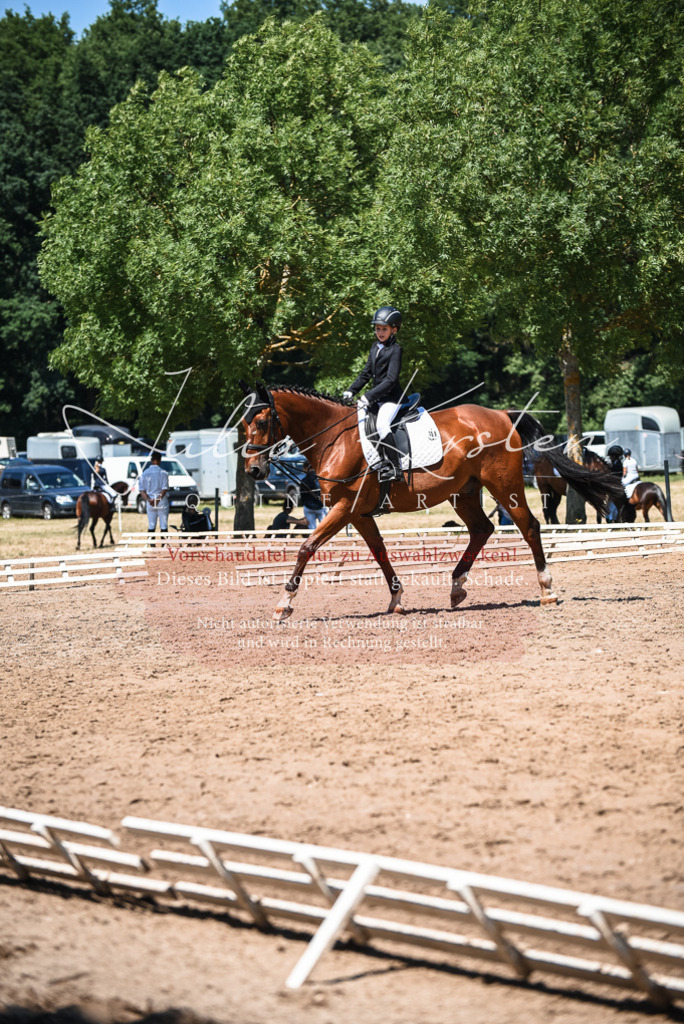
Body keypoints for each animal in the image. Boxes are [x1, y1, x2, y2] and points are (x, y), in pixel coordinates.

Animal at [239, 382, 626, 620]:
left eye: (263, 421)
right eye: (244, 425)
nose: (254, 470)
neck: (335, 438)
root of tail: (501, 414)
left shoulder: (344, 509)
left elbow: (307, 547)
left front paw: (283, 605)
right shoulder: (360, 514)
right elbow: (380, 552)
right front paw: (396, 600)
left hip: (504, 485)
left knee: (529, 526)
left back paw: (546, 590)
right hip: (464, 492)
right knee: (482, 529)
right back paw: (456, 588)